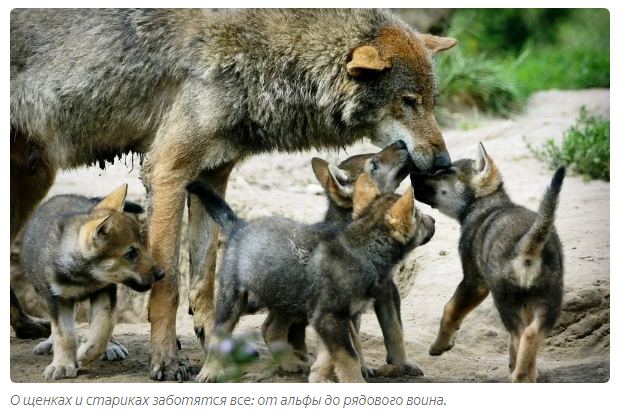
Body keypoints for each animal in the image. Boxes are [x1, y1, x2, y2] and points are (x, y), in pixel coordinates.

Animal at [21, 185, 165, 378]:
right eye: (130, 253)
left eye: (144, 247)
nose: (161, 274)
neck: (86, 276)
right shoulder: (57, 299)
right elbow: (63, 334)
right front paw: (62, 365)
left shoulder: (105, 291)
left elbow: (104, 325)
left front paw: (88, 353)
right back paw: (50, 343)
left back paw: (110, 346)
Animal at [412, 144, 564, 384]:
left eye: (446, 172)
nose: (410, 174)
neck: (485, 206)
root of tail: (530, 244)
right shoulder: (526, 303)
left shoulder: (474, 283)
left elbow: (450, 309)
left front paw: (440, 345)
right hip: (548, 302)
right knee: (530, 335)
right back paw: (525, 376)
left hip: (504, 301)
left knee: (521, 335)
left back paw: (517, 378)